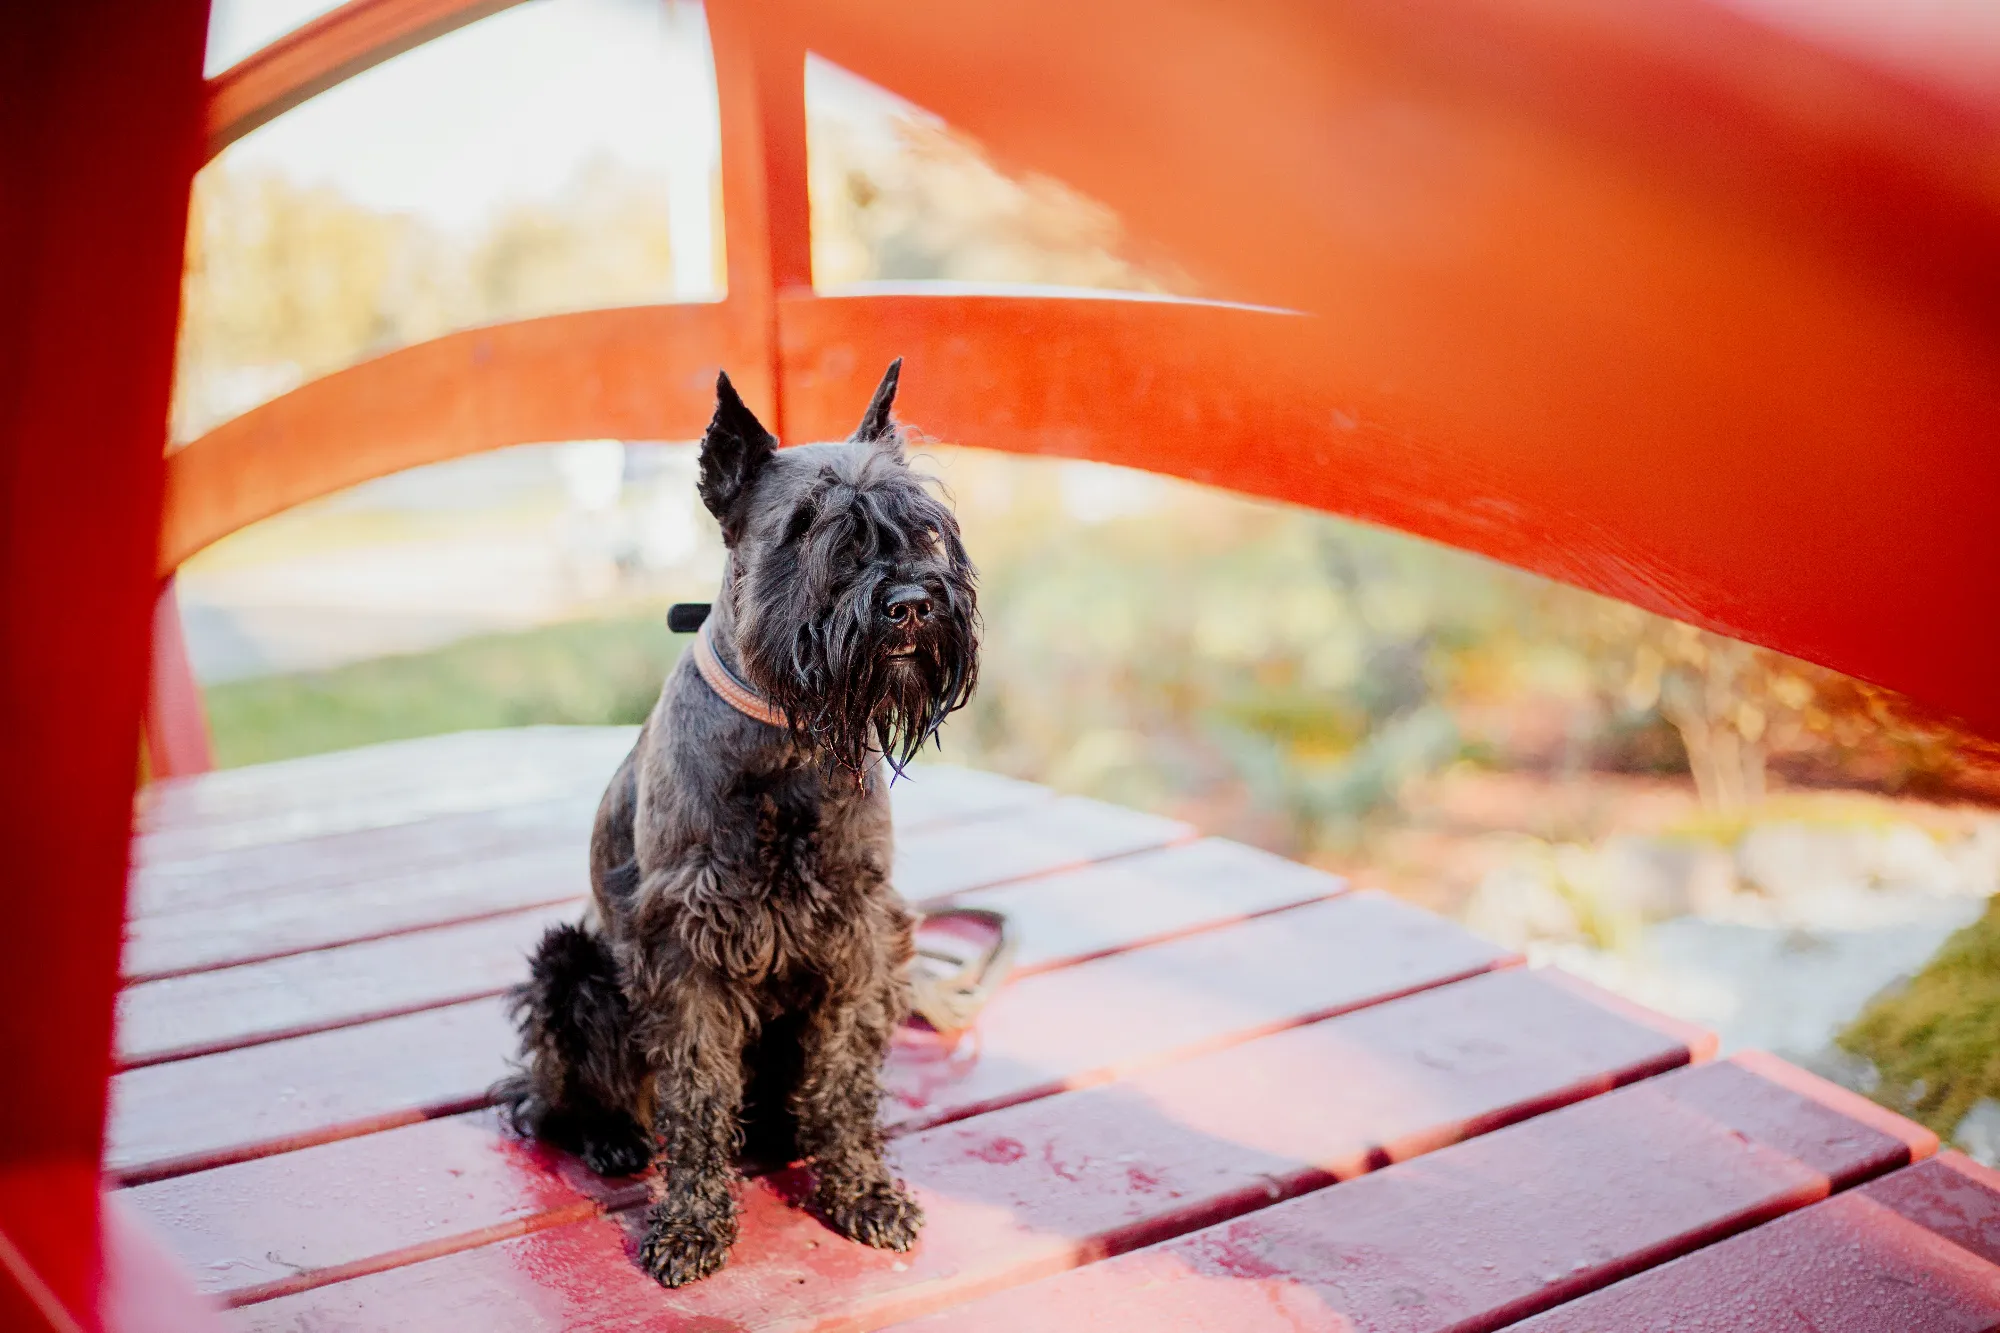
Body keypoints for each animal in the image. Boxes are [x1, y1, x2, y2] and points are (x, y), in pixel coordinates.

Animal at [492, 358, 976, 1280]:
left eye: (924, 525)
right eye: (805, 525)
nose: (909, 603)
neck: (789, 740)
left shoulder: (861, 935)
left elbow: (843, 1079)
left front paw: (861, 1189)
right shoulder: (687, 948)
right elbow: (696, 1090)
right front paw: (691, 1221)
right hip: (570, 965)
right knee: (553, 1096)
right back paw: (612, 1137)